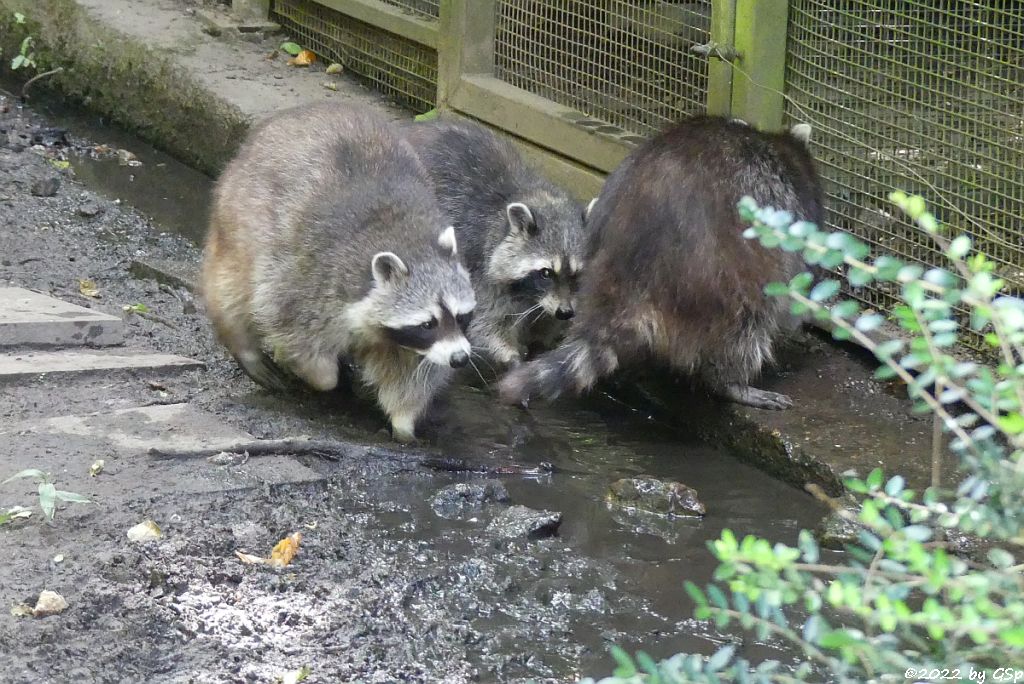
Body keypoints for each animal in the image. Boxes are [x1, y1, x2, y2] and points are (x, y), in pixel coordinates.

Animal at [201, 103, 477, 440]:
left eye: (462, 316)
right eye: (427, 323)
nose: (460, 358)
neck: (408, 242)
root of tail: (298, 112)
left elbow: (411, 372)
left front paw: (404, 419)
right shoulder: (309, 278)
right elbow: (289, 324)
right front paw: (320, 374)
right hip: (242, 217)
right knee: (231, 290)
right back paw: (245, 348)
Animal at [403, 116, 589, 368]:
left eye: (577, 273)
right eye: (546, 272)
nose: (565, 312)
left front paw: (545, 343)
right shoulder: (479, 263)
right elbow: (486, 322)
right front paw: (511, 356)